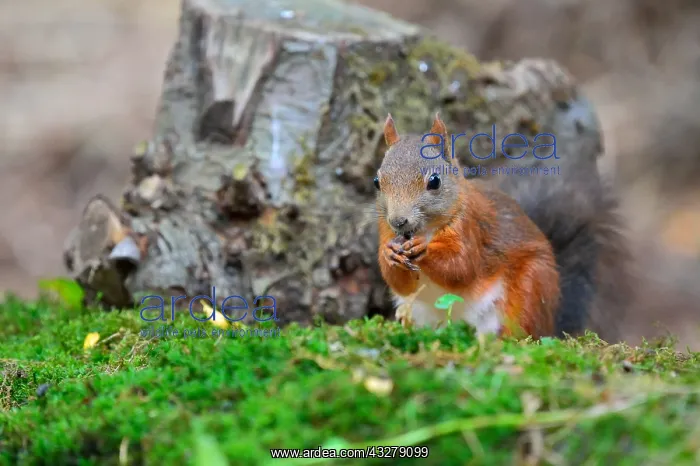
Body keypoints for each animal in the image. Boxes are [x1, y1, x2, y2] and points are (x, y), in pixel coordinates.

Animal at [375, 113, 561, 338]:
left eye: (435, 181)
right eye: (377, 182)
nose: (398, 221)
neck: (425, 231)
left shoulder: (470, 227)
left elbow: (461, 267)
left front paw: (423, 248)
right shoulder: (384, 229)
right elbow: (400, 284)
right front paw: (389, 253)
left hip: (532, 285)